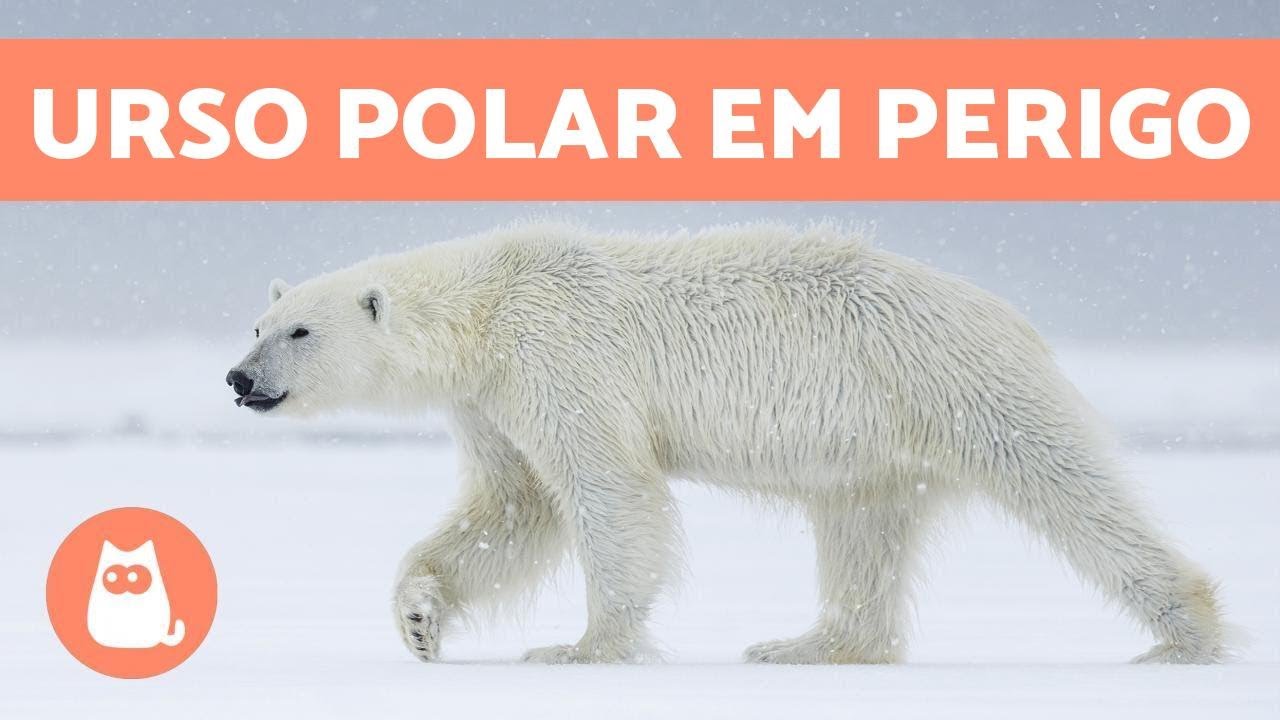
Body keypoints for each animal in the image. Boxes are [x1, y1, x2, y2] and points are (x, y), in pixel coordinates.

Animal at [226, 222, 1226, 665]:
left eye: (300, 331)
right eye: (257, 323)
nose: (238, 380)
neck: (489, 302)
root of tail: (1010, 316)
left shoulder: (559, 356)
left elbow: (607, 490)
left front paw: (581, 647)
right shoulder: (491, 401)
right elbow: (508, 510)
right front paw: (419, 618)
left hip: (950, 381)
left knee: (1066, 485)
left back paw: (1186, 633)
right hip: (878, 442)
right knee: (862, 527)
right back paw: (808, 644)